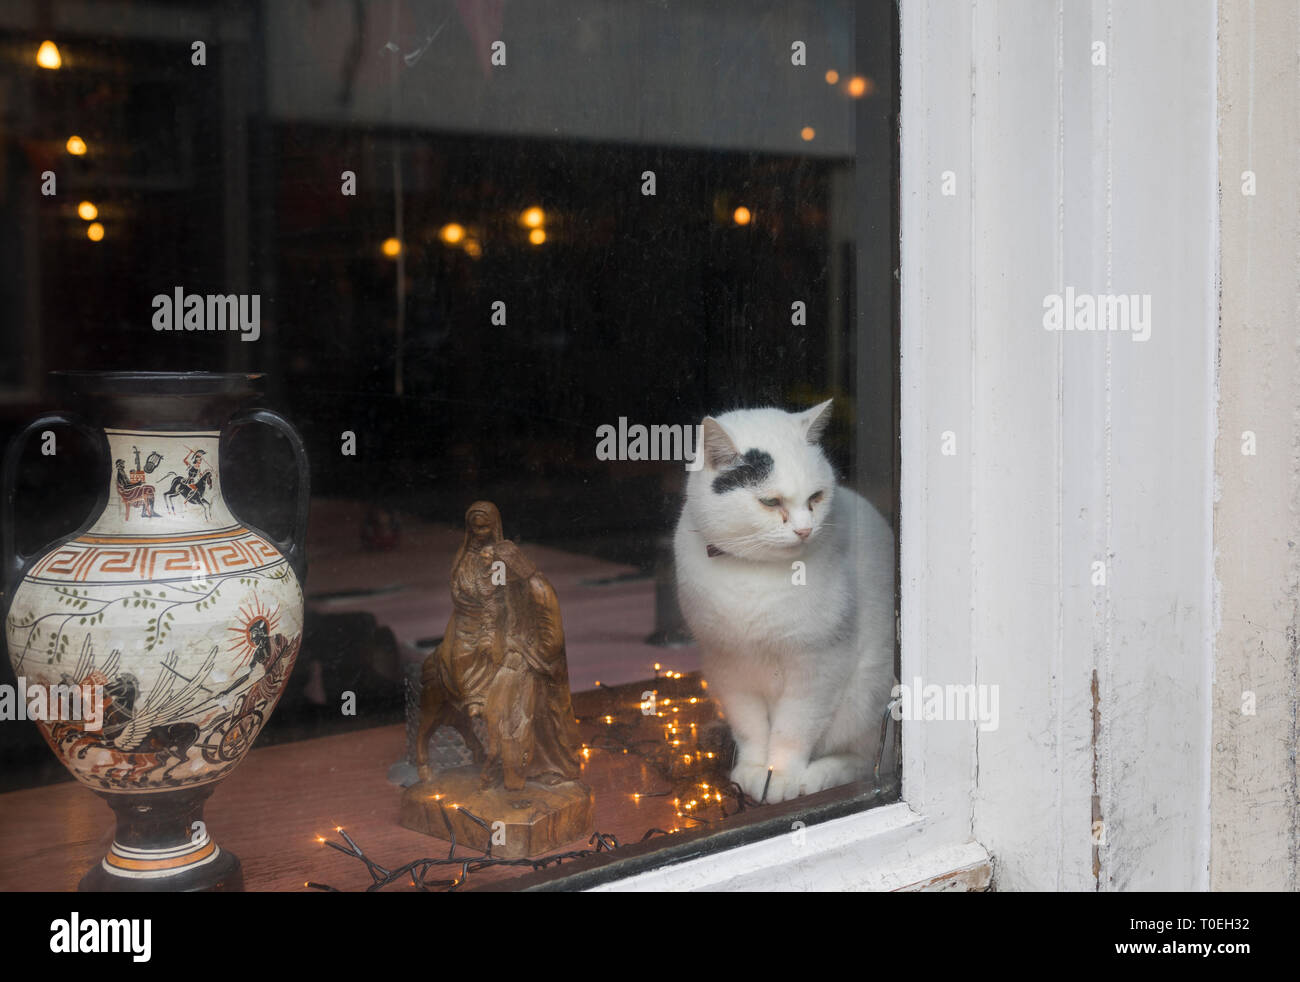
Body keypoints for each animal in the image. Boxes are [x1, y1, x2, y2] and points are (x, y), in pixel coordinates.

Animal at [670, 403, 894, 801]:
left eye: (816, 497)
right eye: (770, 502)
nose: (805, 530)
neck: (754, 574)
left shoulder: (818, 666)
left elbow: (794, 728)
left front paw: (782, 775)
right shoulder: (728, 668)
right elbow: (750, 726)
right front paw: (754, 768)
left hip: (866, 691)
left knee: (868, 761)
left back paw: (818, 775)